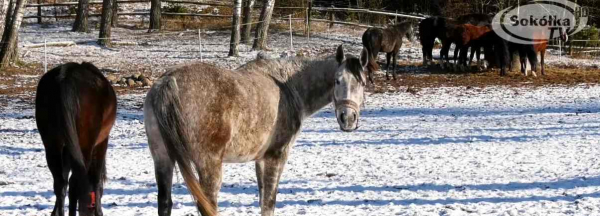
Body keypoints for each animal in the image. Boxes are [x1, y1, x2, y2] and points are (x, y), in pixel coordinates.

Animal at [36, 61, 117, 215]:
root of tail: (65, 78)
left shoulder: (67, 149)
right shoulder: (102, 143)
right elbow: (96, 179)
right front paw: (99, 211)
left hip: (52, 144)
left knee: (60, 183)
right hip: (85, 144)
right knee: (75, 182)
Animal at [146, 44, 370, 215]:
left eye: (362, 82)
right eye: (337, 80)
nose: (348, 118)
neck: (287, 85)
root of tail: (169, 81)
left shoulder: (260, 160)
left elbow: (263, 198)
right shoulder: (276, 156)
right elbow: (269, 203)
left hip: (162, 160)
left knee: (164, 202)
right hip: (209, 165)